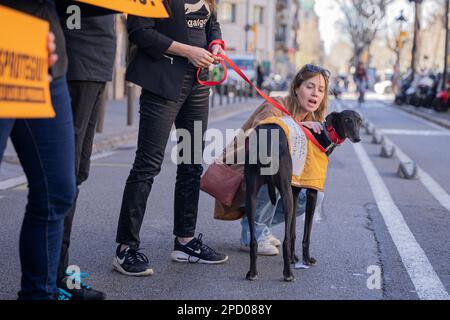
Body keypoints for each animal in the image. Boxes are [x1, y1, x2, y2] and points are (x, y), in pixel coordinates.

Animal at [243, 109, 362, 280]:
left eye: (360, 121)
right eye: (347, 119)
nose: (357, 138)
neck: (324, 134)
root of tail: (267, 140)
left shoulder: (295, 190)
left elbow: (293, 231)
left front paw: (294, 257)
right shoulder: (310, 193)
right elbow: (306, 233)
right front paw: (306, 259)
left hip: (251, 195)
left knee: (254, 240)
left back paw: (253, 272)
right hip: (285, 194)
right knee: (285, 240)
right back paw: (288, 273)